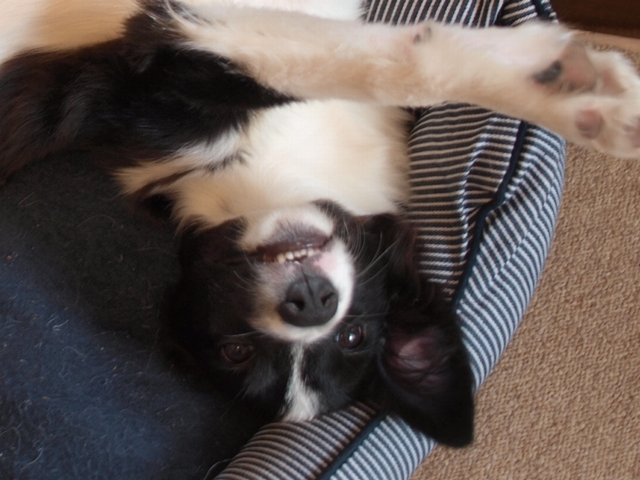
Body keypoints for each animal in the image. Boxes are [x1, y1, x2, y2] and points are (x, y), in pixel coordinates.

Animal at [0, 0, 639, 448]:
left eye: (353, 337)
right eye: (237, 350)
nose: (310, 303)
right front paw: (573, 89)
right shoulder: (171, 58)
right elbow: (385, 67)